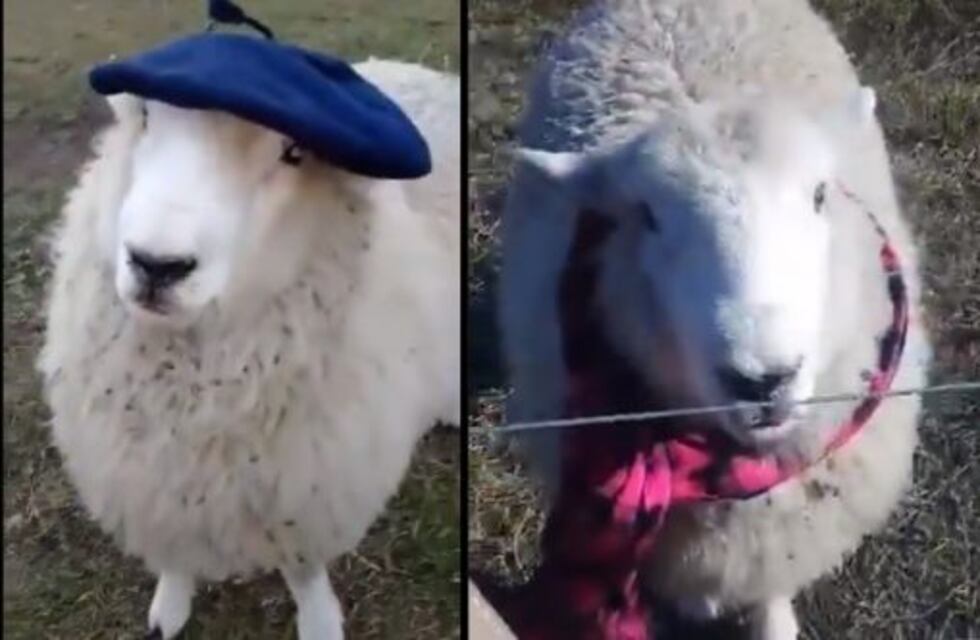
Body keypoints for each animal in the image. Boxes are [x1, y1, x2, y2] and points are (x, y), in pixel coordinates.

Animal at [37, 59, 459, 640]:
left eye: (295, 153)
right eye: (145, 115)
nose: (156, 263)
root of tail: (417, 70)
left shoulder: (308, 491)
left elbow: (304, 570)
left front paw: (319, 622)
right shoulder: (156, 486)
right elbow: (174, 555)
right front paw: (169, 608)